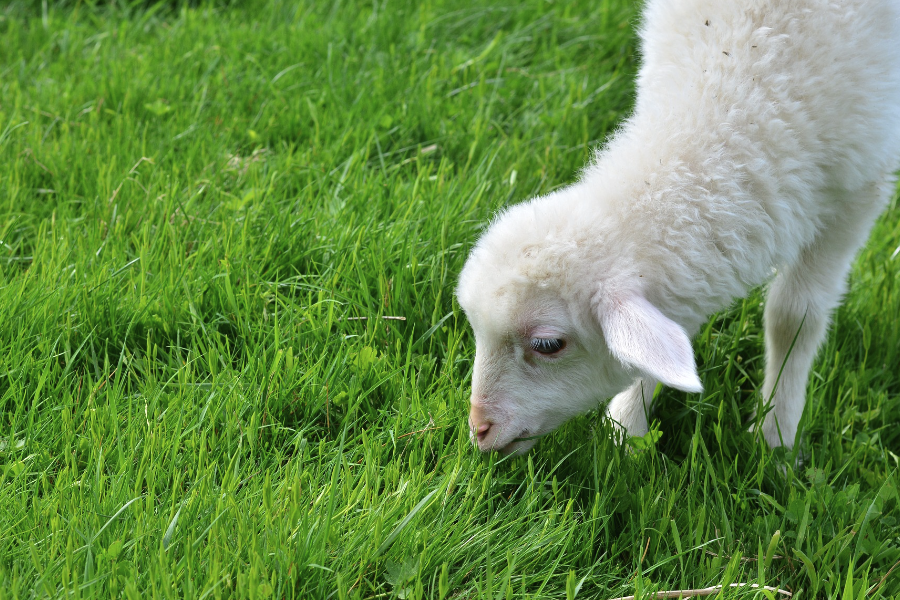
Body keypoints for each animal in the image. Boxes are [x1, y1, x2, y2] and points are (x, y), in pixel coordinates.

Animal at [458, 0, 900, 452]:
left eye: (547, 345)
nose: (479, 429)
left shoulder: (861, 188)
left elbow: (795, 316)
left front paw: (775, 436)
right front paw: (627, 431)